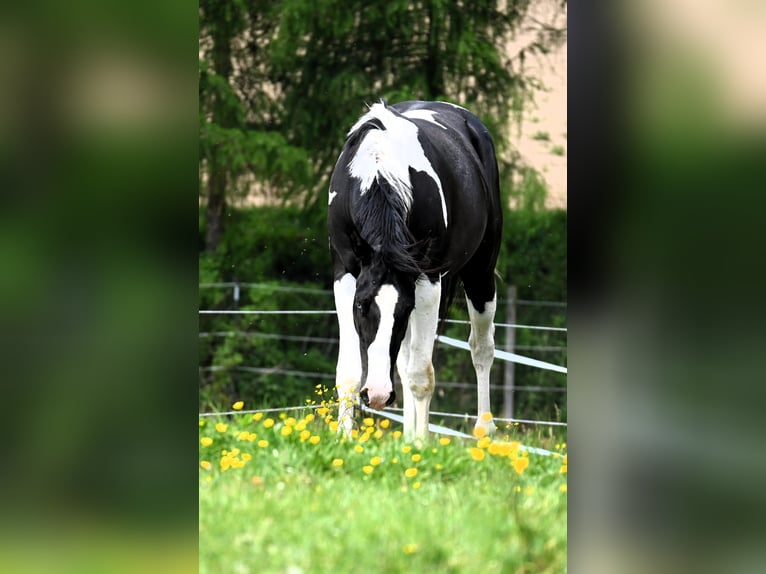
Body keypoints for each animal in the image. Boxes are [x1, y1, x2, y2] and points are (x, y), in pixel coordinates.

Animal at [327, 100, 502, 439]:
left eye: (404, 308)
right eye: (360, 306)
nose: (378, 395)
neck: (378, 169)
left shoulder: (426, 281)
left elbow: (421, 375)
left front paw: (420, 445)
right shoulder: (345, 275)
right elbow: (350, 374)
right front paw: (343, 440)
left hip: (481, 274)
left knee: (481, 348)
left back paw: (484, 432)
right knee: (405, 360)